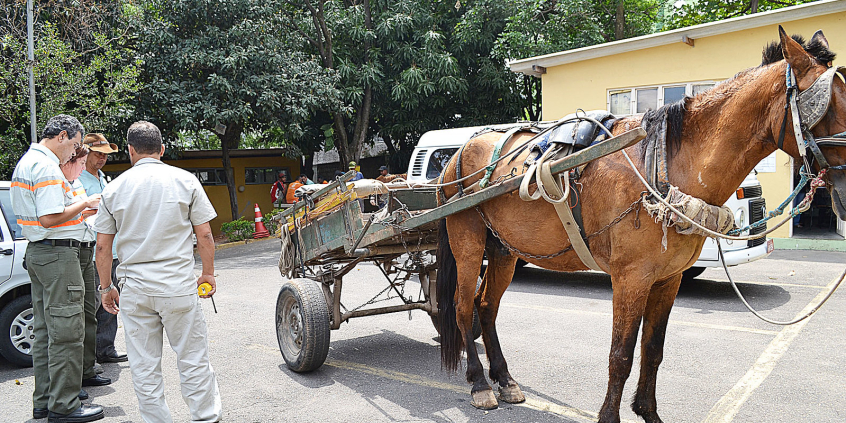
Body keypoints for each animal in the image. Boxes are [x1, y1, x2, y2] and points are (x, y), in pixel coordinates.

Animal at [435, 27, 846, 423]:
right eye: (829, 107)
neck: (666, 163)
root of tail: (456, 155)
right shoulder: (630, 279)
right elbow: (621, 355)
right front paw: (609, 416)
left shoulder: (668, 278)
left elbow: (653, 349)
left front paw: (648, 411)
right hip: (468, 242)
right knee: (462, 307)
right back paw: (479, 384)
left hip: (505, 249)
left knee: (487, 307)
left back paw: (504, 379)